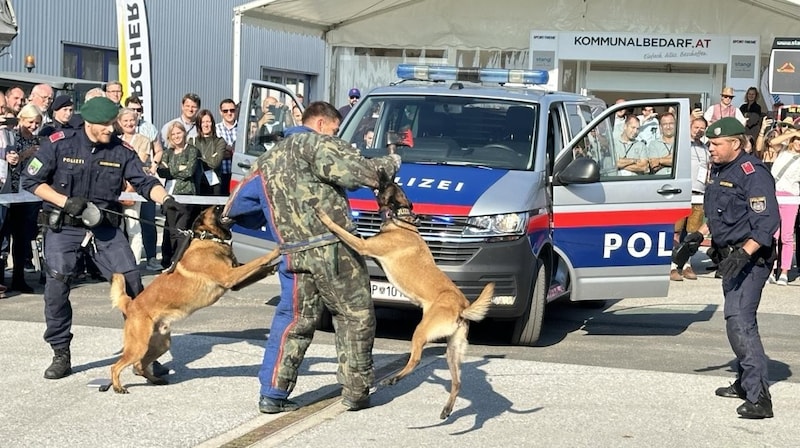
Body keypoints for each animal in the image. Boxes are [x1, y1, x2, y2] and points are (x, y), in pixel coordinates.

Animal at [108, 205, 280, 394]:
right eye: (217, 209)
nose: (227, 205)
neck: (211, 239)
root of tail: (131, 304)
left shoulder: (235, 282)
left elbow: (260, 268)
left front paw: (277, 265)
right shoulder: (230, 276)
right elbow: (258, 260)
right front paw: (277, 250)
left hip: (161, 344)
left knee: (139, 365)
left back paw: (155, 380)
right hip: (138, 346)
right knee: (116, 366)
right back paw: (118, 387)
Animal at [318, 170, 494, 418]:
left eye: (387, 185)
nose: (383, 173)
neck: (400, 221)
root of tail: (462, 306)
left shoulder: (364, 246)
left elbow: (342, 230)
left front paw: (325, 217)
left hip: (421, 331)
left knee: (416, 360)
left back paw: (393, 379)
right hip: (453, 350)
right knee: (457, 382)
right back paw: (446, 409)